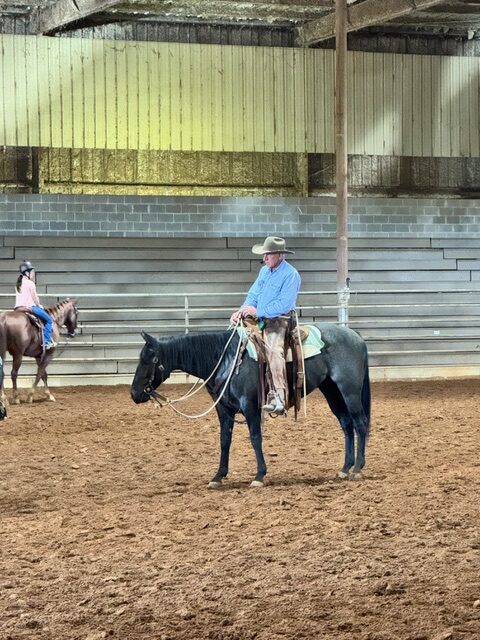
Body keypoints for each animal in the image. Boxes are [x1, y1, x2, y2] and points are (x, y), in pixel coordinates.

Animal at [130, 322, 371, 488]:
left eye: (150, 360)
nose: (134, 393)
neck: (227, 359)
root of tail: (356, 337)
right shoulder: (224, 409)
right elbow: (224, 440)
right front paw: (218, 476)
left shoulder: (250, 406)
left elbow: (255, 438)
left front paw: (259, 475)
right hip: (332, 390)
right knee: (346, 424)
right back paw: (345, 468)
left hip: (349, 390)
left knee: (360, 423)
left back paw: (358, 469)